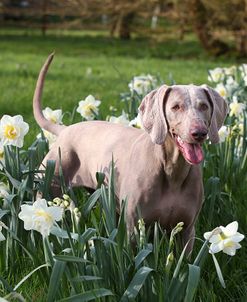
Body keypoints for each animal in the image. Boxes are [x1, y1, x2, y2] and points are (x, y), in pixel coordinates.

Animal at [32, 54, 228, 250]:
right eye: (176, 107)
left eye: (204, 106)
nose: (199, 133)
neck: (172, 170)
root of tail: (65, 129)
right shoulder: (134, 228)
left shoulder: (187, 230)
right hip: (49, 183)